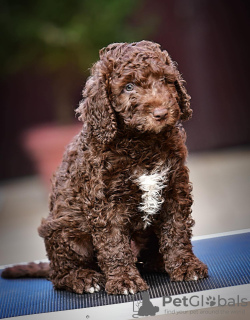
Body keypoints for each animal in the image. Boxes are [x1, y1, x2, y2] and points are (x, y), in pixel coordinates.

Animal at [1, 40, 208, 296]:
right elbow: (113, 244)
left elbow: (177, 231)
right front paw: (124, 280)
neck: (143, 142)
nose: (161, 113)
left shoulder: (174, 188)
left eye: (164, 80)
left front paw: (186, 265)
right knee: (59, 275)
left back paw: (158, 262)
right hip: (63, 231)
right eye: (128, 87)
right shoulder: (106, 202)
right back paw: (83, 278)